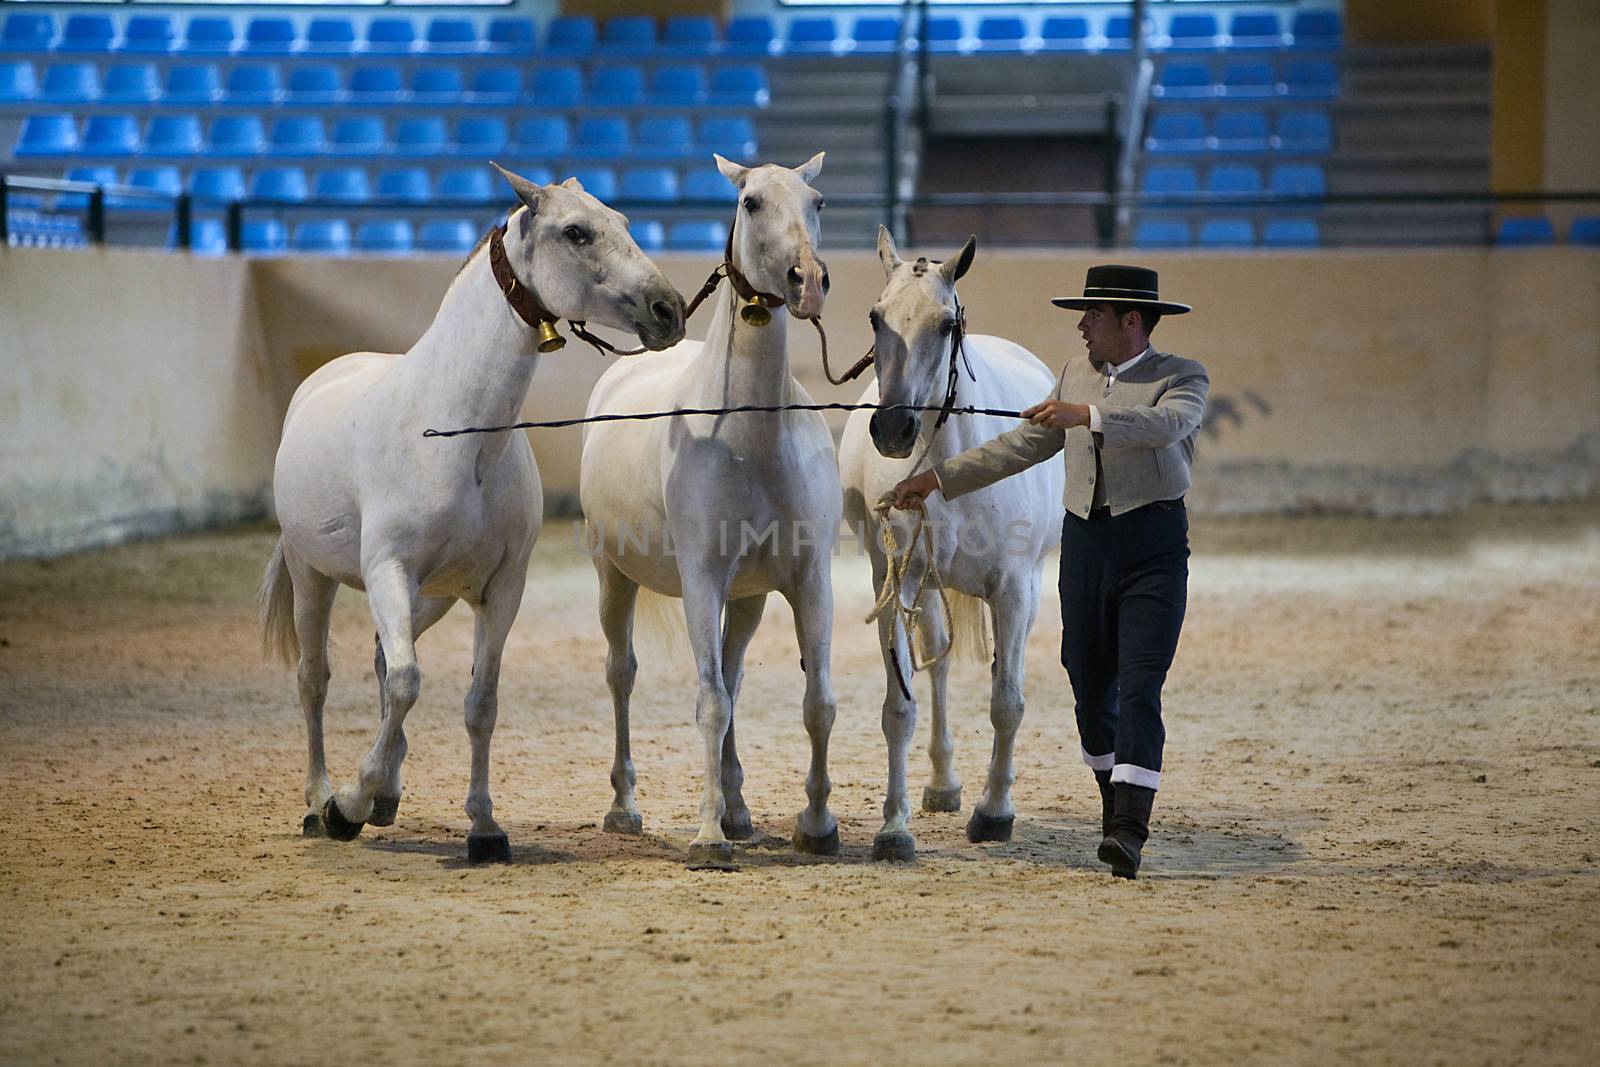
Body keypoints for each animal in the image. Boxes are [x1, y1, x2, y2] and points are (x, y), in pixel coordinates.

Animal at [259, 168, 684, 870]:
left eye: (622, 220)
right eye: (576, 231)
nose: (669, 309)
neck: (455, 433)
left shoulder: (499, 590)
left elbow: (478, 703)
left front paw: (484, 827)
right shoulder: (388, 571)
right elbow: (408, 683)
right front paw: (347, 805)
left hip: (430, 599)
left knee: (381, 665)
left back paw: (385, 796)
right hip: (314, 575)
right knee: (314, 680)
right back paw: (319, 802)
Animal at [576, 151, 838, 870]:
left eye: (817, 202)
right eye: (750, 202)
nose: (808, 281)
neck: (751, 437)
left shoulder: (809, 580)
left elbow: (816, 701)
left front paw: (816, 823)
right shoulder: (701, 582)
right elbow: (709, 703)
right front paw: (707, 836)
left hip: (748, 598)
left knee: (735, 673)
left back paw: (740, 809)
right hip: (613, 577)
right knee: (621, 675)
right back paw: (624, 807)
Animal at [838, 230, 1062, 863]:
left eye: (944, 325)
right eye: (875, 317)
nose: (893, 431)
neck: (948, 468)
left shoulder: (1013, 590)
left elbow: (1007, 702)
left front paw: (995, 814)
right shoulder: (896, 582)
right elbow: (900, 708)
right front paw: (894, 829)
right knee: (935, 664)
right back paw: (942, 784)